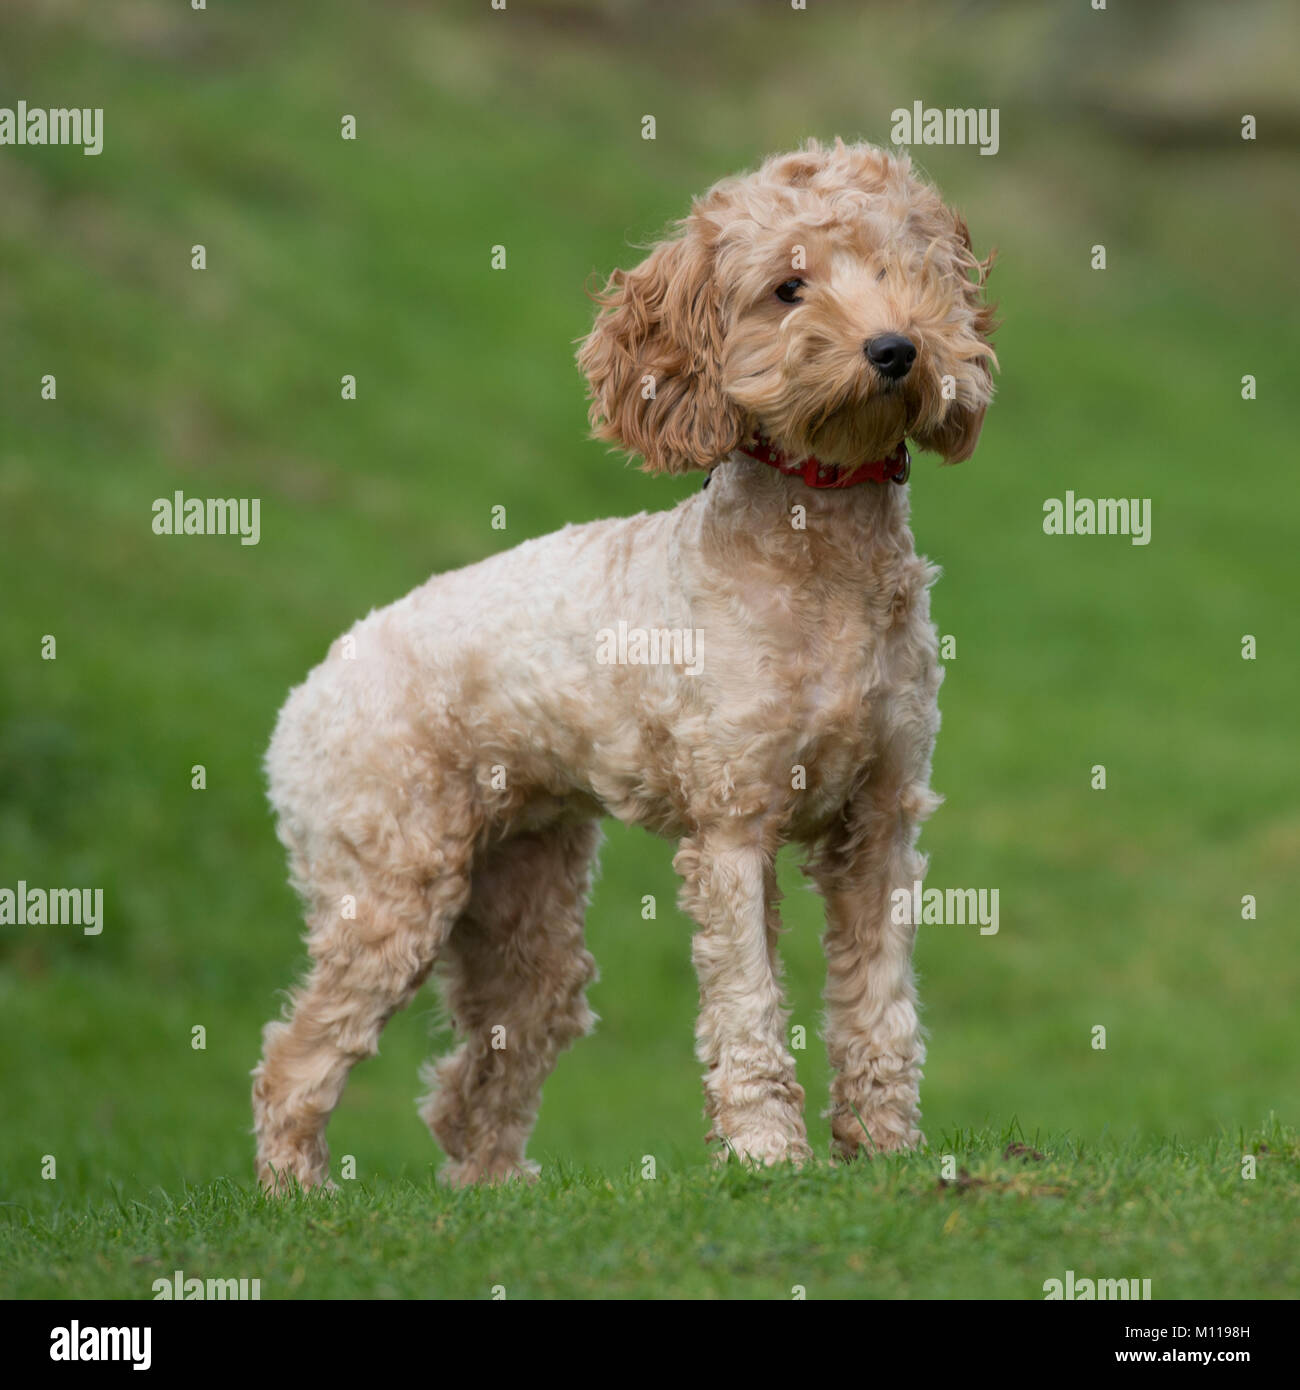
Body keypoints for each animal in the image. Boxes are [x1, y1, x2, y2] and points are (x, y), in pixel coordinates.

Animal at [251, 138, 995, 1184]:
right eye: (788, 289)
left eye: (902, 270)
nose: (896, 349)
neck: (819, 552)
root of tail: (307, 693)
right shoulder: (731, 823)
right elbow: (747, 1005)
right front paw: (766, 1151)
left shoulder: (880, 819)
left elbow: (880, 1006)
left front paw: (886, 1152)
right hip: (392, 888)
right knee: (295, 1059)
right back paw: (299, 1194)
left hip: (521, 899)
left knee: (483, 1069)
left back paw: (492, 1190)